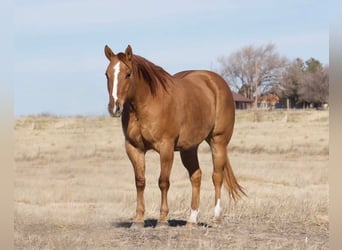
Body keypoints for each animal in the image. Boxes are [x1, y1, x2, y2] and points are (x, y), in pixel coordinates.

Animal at [104, 45, 246, 227]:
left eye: (128, 74)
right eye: (107, 74)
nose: (114, 108)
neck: (148, 102)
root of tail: (215, 82)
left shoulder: (166, 147)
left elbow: (163, 182)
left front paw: (162, 220)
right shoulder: (134, 148)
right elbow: (140, 182)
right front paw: (138, 219)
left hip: (218, 141)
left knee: (217, 177)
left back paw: (217, 217)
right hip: (189, 148)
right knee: (196, 176)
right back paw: (192, 219)